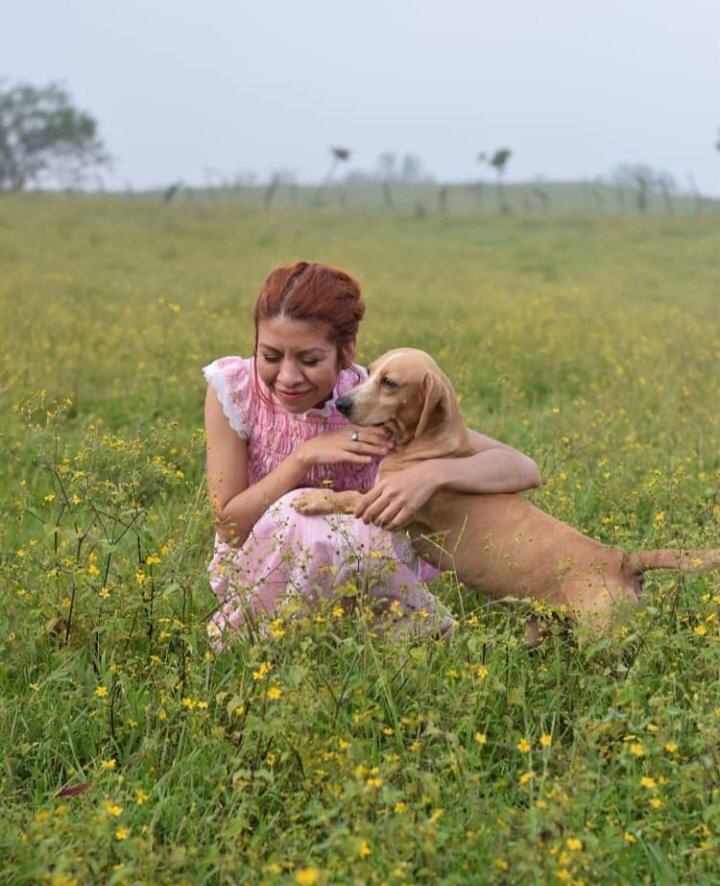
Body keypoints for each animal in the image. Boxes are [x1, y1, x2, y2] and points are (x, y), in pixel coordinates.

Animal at [294, 350, 720, 628]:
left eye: (389, 383)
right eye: (370, 372)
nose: (341, 403)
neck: (430, 445)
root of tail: (621, 559)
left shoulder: (393, 505)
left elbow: (349, 497)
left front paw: (312, 497)